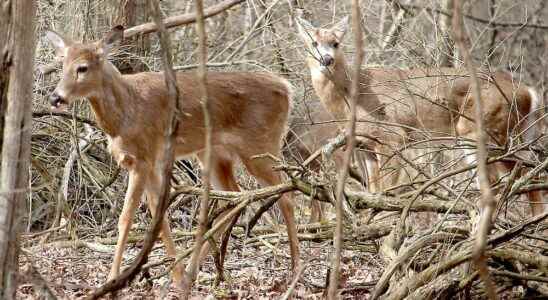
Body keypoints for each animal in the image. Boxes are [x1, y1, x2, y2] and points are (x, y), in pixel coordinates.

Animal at [45, 27, 302, 288]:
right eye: (62, 64)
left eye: (82, 68)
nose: (56, 98)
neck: (126, 112)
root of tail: (287, 88)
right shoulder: (148, 164)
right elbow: (159, 218)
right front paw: (176, 275)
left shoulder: (144, 158)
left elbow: (126, 218)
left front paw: (112, 278)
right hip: (214, 154)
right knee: (234, 196)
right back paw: (192, 272)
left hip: (260, 145)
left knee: (287, 194)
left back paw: (294, 268)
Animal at [298, 17, 544, 216]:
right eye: (313, 43)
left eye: (336, 43)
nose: (326, 60)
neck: (351, 98)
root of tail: (528, 91)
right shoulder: (365, 145)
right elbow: (374, 190)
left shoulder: (392, 136)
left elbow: (387, 191)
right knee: (525, 174)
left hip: (482, 130)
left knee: (506, 178)